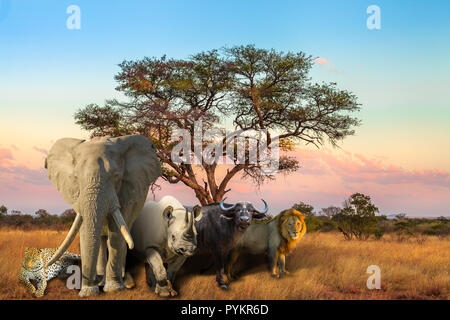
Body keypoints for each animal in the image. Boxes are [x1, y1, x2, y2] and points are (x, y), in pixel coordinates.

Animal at [43, 134, 162, 296]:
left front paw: (114, 289)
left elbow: (117, 233)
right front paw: (89, 292)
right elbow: (85, 230)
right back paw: (100, 281)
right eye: (76, 177)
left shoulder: (126, 193)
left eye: (117, 176)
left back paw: (124, 282)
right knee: (101, 239)